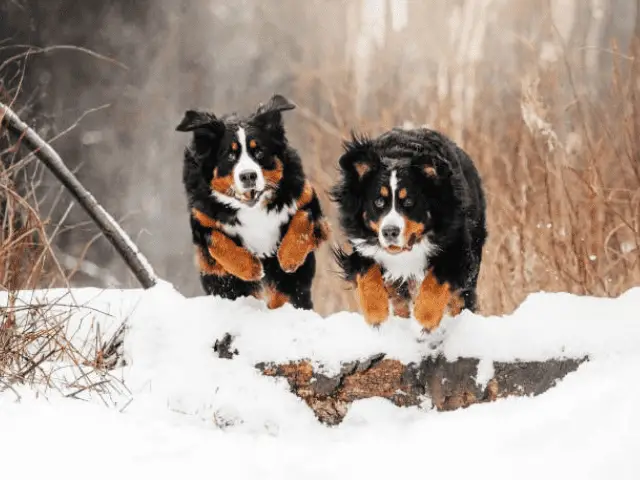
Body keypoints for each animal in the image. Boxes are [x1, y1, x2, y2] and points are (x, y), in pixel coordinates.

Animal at [178, 94, 330, 312]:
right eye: (230, 155)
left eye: (258, 152)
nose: (248, 175)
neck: (253, 208)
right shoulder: (201, 218)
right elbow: (216, 240)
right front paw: (251, 267)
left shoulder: (306, 198)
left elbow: (303, 219)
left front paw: (288, 257)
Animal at [332, 125, 488, 332]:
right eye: (379, 202)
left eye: (408, 202)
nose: (390, 232)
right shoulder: (362, 244)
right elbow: (367, 271)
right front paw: (376, 313)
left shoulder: (456, 245)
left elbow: (436, 280)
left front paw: (424, 317)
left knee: (461, 299)